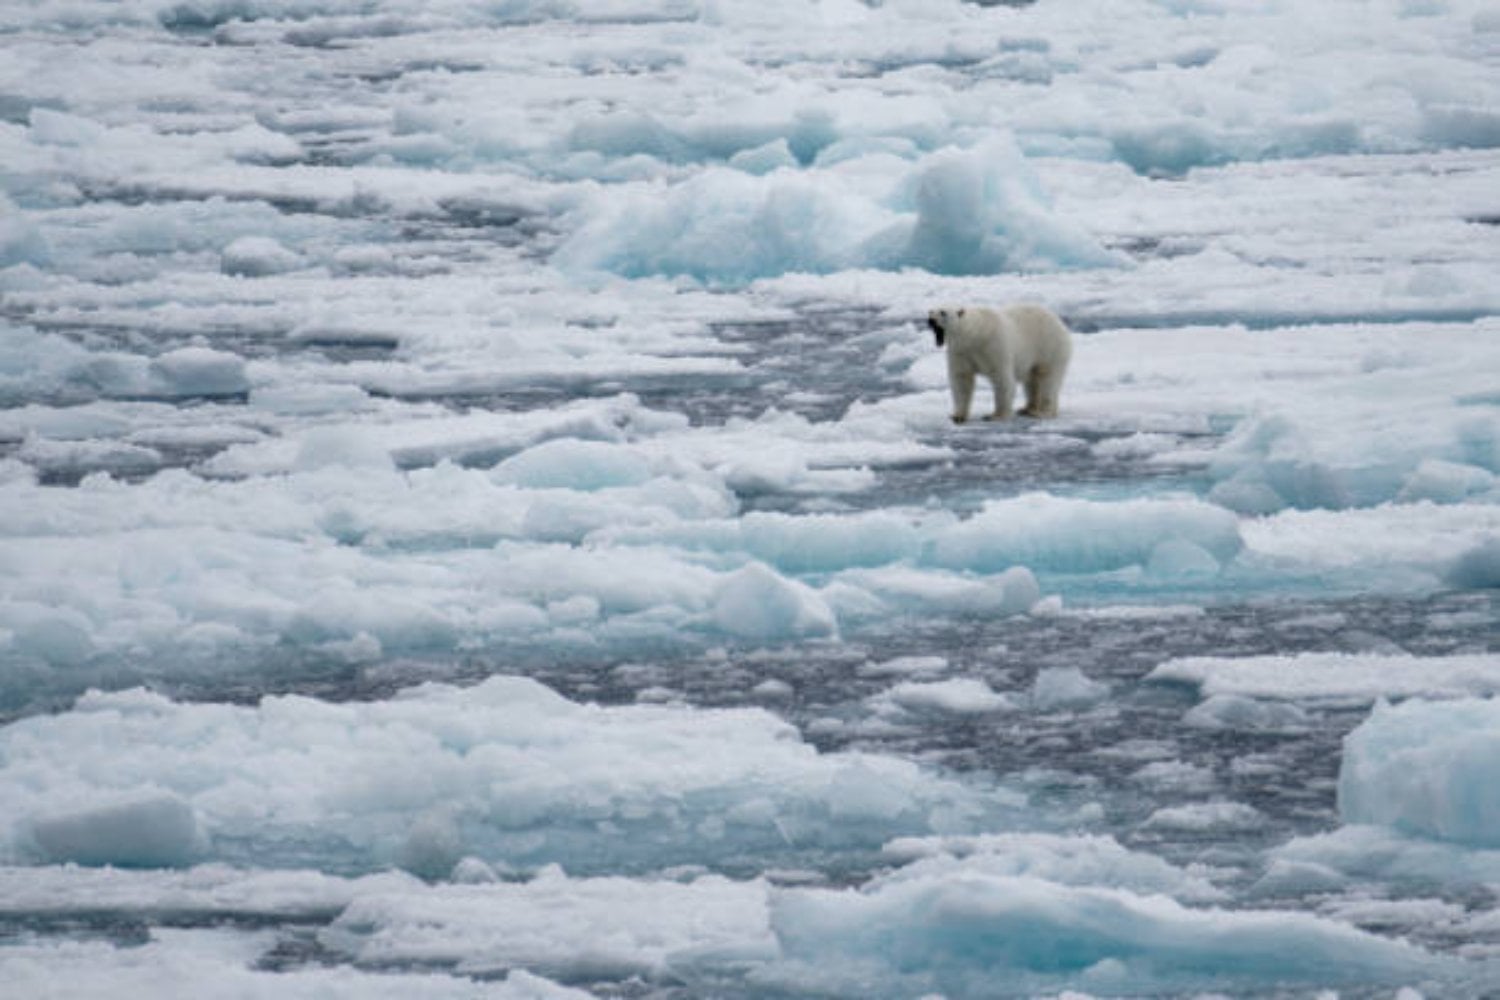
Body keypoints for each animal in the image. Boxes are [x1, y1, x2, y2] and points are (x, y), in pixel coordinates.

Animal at [927, 303, 1073, 423]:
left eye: (943, 312)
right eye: (931, 310)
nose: (930, 320)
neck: (976, 334)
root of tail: (1060, 323)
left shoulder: (994, 346)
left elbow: (1002, 379)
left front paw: (995, 416)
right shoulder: (961, 352)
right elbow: (961, 380)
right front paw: (958, 416)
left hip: (1049, 348)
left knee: (1047, 379)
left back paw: (1042, 412)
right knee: (1032, 381)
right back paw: (1027, 408)